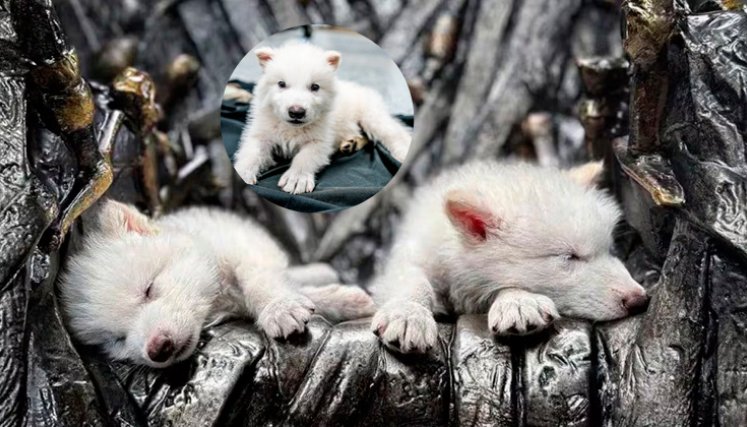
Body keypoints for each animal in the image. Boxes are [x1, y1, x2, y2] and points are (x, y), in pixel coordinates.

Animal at [59, 200, 375, 367]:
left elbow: (259, 280)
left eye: (148, 289)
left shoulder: (244, 249)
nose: (157, 349)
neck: (216, 299)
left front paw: (280, 308)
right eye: (117, 339)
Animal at [233, 41, 412, 194]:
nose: (296, 112)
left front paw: (296, 179)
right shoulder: (263, 129)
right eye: (281, 84)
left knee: (392, 132)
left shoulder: (322, 138)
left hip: (371, 113)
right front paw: (243, 171)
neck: (291, 128)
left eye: (315, 87)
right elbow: (252, 150)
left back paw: (403, 152)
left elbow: (306, 156)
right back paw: (351, 143)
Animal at [370, 161, 649, 353]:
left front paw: (518, 302)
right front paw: (408, 315)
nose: (640, 300)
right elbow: (414, 281)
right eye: (570, 256)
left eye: (609, 250)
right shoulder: (412, 255)